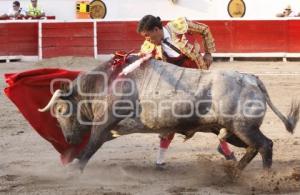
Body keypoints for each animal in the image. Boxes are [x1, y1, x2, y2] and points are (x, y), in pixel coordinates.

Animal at [39, 56, 298, 174]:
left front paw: (73, 172)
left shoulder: (103, 125)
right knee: (254, 147)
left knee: (264, 145)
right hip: (233, 130)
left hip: (243, 127)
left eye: (61, 111)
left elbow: (90, 147)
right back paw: (234, 173)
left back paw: (264, 176)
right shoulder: (111, 129)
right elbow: (89, 148)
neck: (104, 83)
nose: (68, 139)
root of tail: (252, 78)